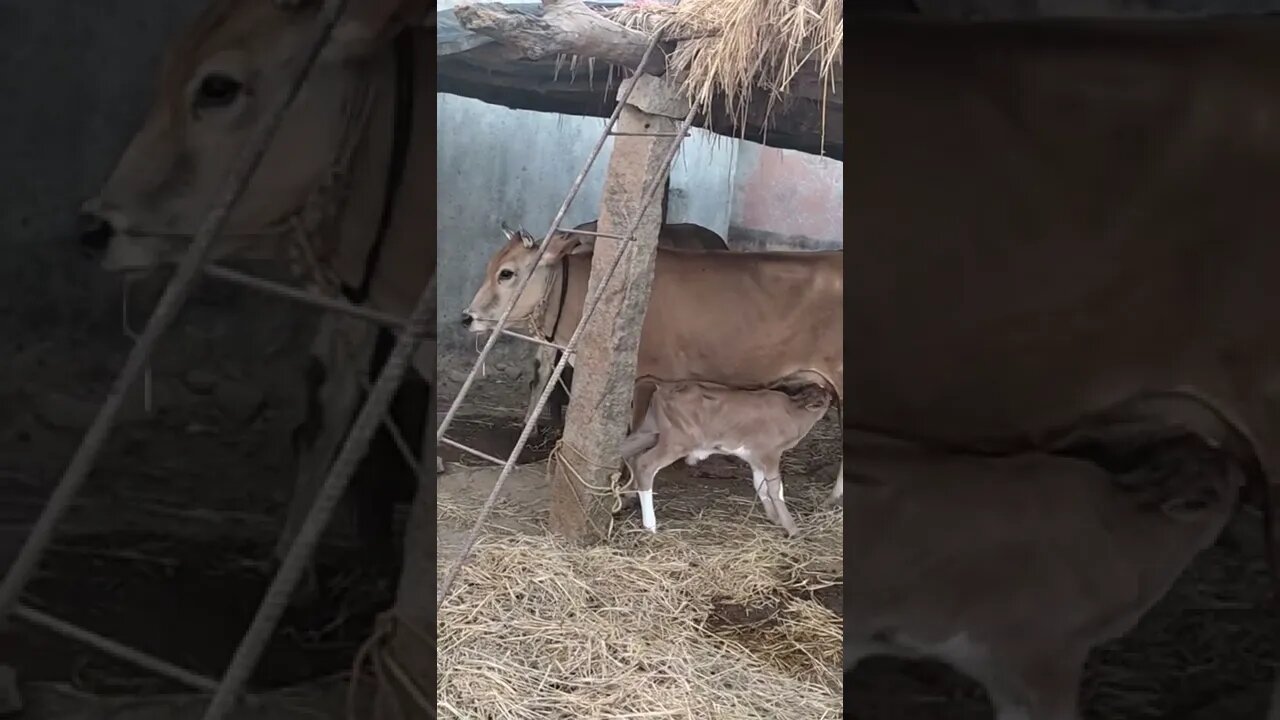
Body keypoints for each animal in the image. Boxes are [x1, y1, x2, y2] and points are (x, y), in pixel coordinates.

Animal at [616, 379, 829, 535]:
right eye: (826, 395)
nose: (828, 390)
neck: (793, 414)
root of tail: (662, 388)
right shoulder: (770, 453)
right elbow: (776, 489)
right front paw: (792, 528)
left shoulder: (755, 457)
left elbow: (760, 485)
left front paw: (774, 517)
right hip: (678, 441)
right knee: (644, 464)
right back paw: (650, 525)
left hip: (648, 431)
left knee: (627, 453)